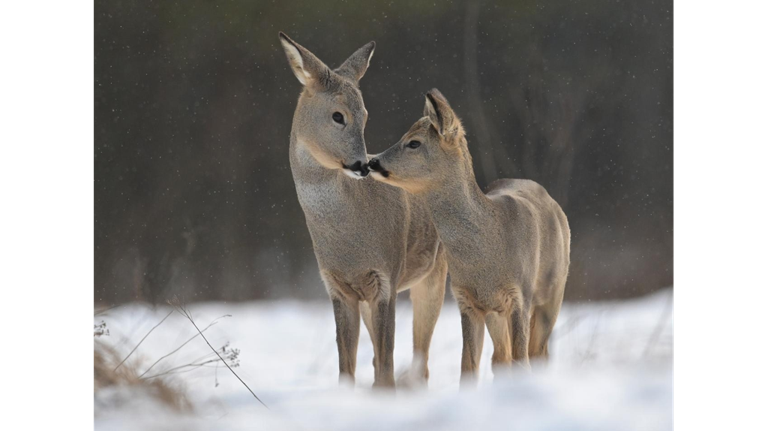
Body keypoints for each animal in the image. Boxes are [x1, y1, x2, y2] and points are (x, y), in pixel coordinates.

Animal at [280, 34, 450, 388]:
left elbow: (386, 366)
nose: (362, 165)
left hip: (435, 273)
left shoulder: (386, 278)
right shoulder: (337, 287)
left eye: (366, 115)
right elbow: (348, 366)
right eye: (338, 115)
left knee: (421, 360)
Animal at [366, 88, 568, 388]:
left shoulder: (520, 296)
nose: (372, 161)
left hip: (552, 295)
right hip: (497, 313)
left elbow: (522, 361)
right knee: (501, 358)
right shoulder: (467, 300)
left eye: (413, 143)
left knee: (537, 354)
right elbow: (468, 367)